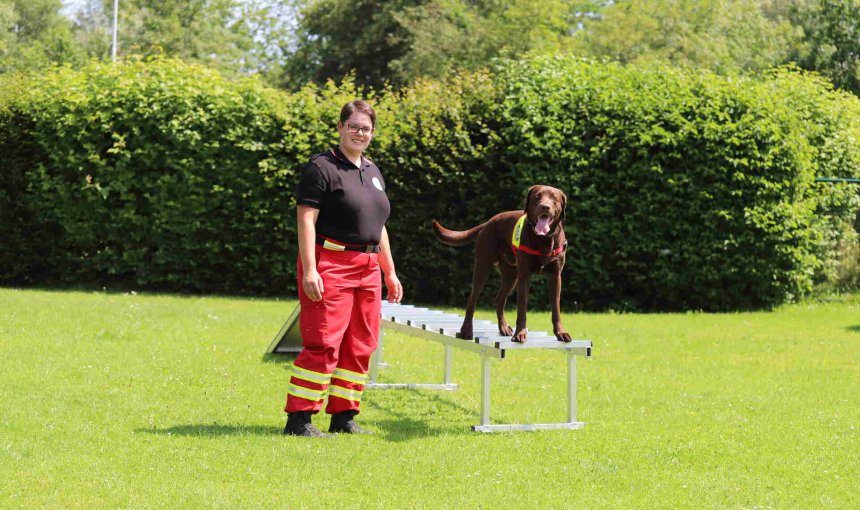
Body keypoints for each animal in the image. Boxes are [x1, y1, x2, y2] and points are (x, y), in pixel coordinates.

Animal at [430, 183, 572, 342]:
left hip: (511, 275)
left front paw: (561, 333)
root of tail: (488, 222)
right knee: (472, 299)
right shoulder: (524, 275)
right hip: (483, 267)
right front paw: (520, 333)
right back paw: (466, 330)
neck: (544, 239)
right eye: (537, 196)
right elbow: (522, 308)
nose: (545, 207)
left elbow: (556, 309)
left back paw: (503, 328)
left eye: (554, 198)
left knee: (499, 300)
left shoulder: (555, 276)